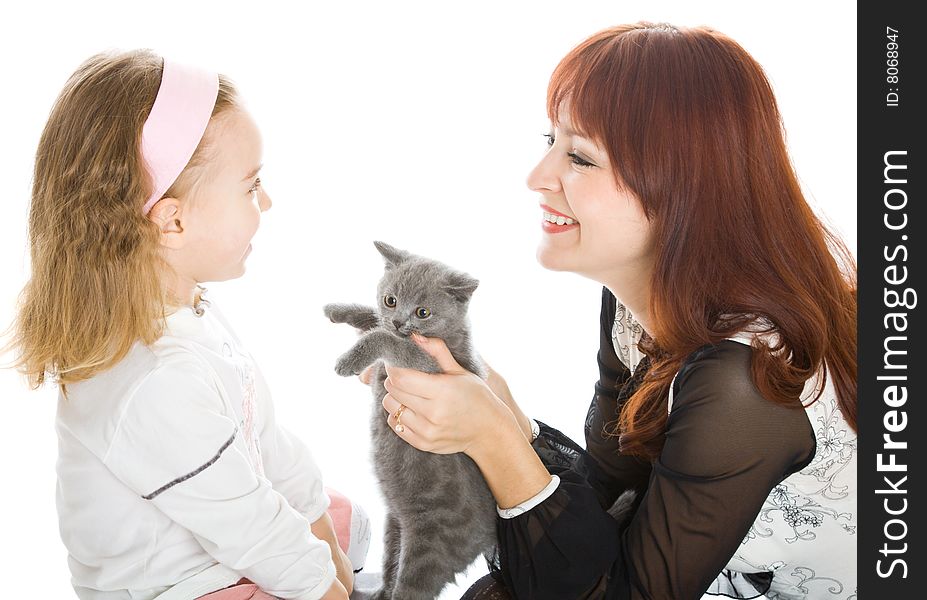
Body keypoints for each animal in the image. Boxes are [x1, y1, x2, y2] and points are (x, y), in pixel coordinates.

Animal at [326, 241, 500, 600]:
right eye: (390, 300)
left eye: (422, 312)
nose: (398, 321)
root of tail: (487, 534)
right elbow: (375, 321)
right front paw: (338, 310)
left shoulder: (432, 365)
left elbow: (385, 339)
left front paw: (348, 360)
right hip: (394, 525)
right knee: (390, 572)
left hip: (428, 548)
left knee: (410, 587)